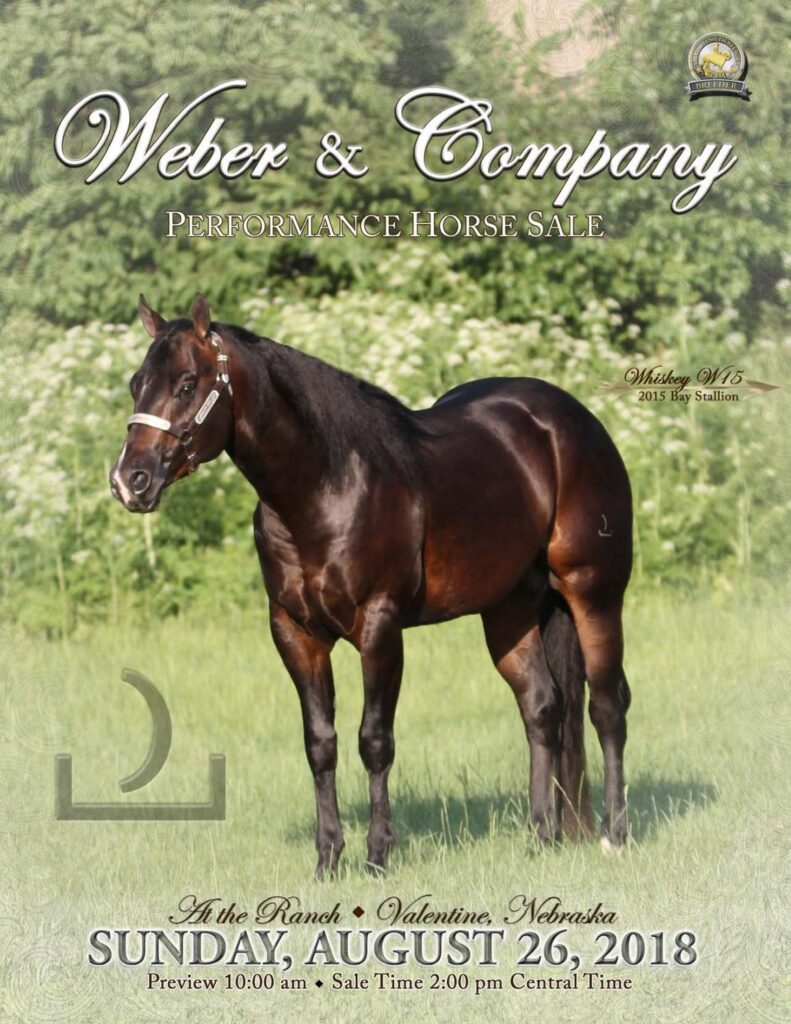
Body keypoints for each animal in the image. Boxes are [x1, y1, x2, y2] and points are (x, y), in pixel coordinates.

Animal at [110, 294, 633, 874]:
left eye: (186, 383)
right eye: (136, 383)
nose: (130, 480)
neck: (324, 488)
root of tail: (571, 420)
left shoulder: (380, 628)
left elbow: (374, 740)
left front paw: (378, 853)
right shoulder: (295, 632)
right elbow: (321, 744)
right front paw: (327, 857)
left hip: (595, 592)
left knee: (607, 703)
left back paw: (614, 832)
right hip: (510, 608)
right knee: (542, 707)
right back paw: (541, 835)